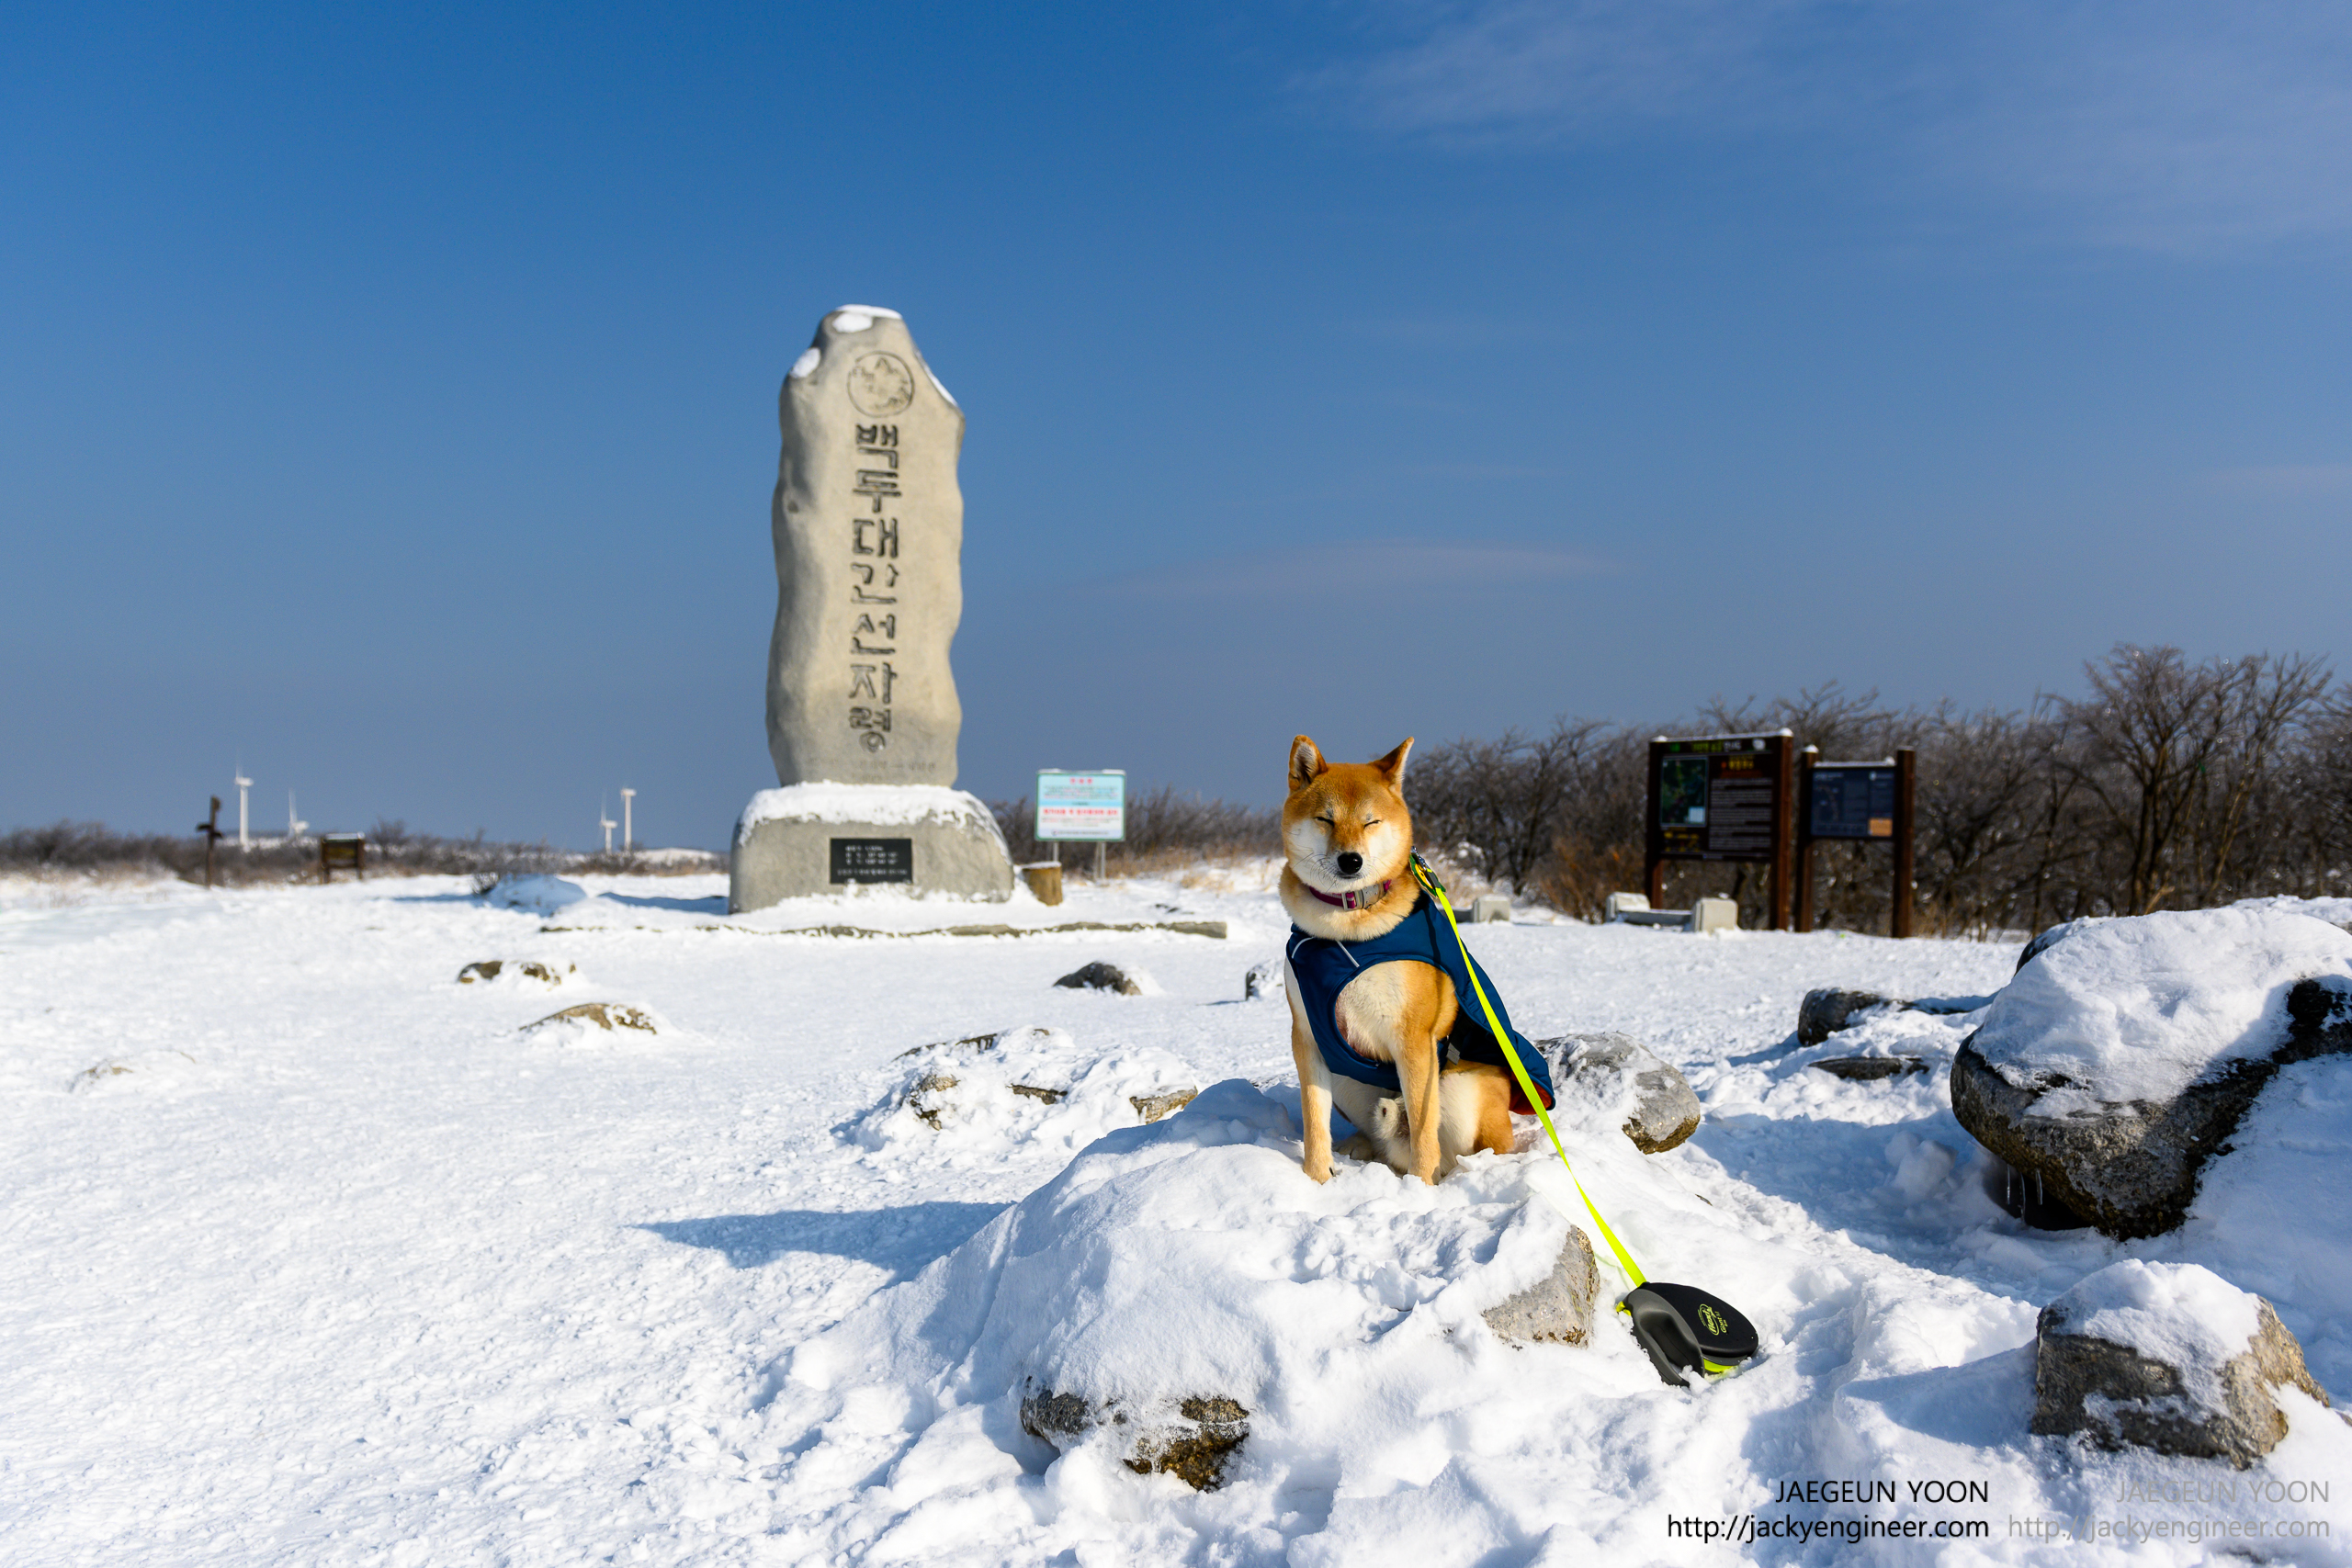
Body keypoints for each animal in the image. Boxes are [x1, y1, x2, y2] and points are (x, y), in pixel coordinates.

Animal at [1277, 734, 1551, 1184]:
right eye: (1326, 820)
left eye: (1370, 822)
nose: (1350, 860)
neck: (1346, 931)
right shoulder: (1309, 1035)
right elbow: (1315, 1122)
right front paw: (1316, 1179)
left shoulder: (1413, 1040)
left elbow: (1425, 1136)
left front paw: (1419, 1190)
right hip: (1349, 1081)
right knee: (1388, 1140)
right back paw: (1362, 1147)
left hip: (1458, 1093)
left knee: (1446, 1148)